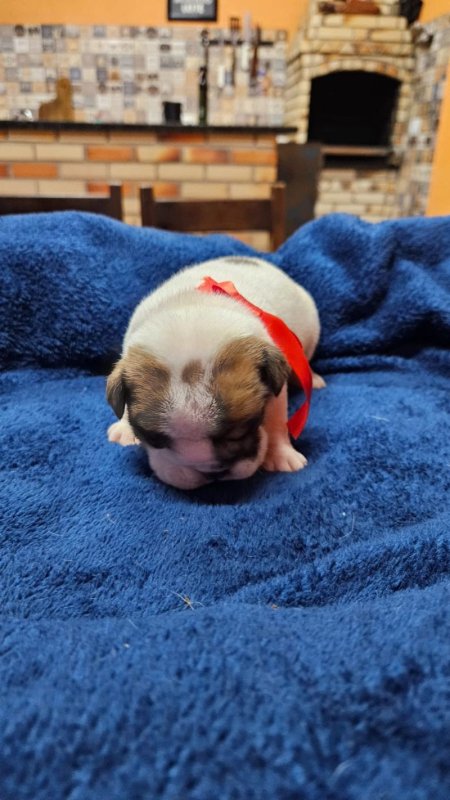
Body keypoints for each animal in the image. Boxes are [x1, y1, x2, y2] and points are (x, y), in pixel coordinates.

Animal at [107, 256, 324, 490]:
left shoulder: (275, 388)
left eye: (244, 429)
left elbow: (276, 421)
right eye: (155, 439)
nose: (210, 472)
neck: (192, 306)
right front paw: (124, 428)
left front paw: (281, 454)